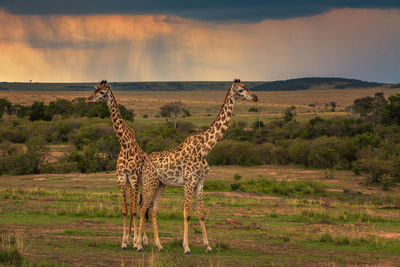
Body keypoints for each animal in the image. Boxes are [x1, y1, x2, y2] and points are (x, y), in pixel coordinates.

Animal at [86, 81, 149, 251]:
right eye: (95, 89)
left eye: (102, 92)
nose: (88, 99)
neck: (124, 144)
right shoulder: (122, 179)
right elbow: (125, 210)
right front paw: (124, 241)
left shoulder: (133, 179)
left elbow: (134, 211)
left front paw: (137, 243)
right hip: (130, 184)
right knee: (134, 205)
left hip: (142, 183)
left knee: (141, 206)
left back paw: (144, 239)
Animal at [135, 78, 260, 254]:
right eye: (241, 90)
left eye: (247, 86)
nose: (255, 97)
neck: (204, 149)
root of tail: (145, 162)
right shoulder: (189, 181)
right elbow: (187, 213)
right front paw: (186, 247)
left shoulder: (200, 183)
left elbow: (201, 213)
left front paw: (208, 246)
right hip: (149, 182)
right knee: (142, 208)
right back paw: (139, 245)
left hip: (160, 185)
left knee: (152, 209)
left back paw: (159, 245)